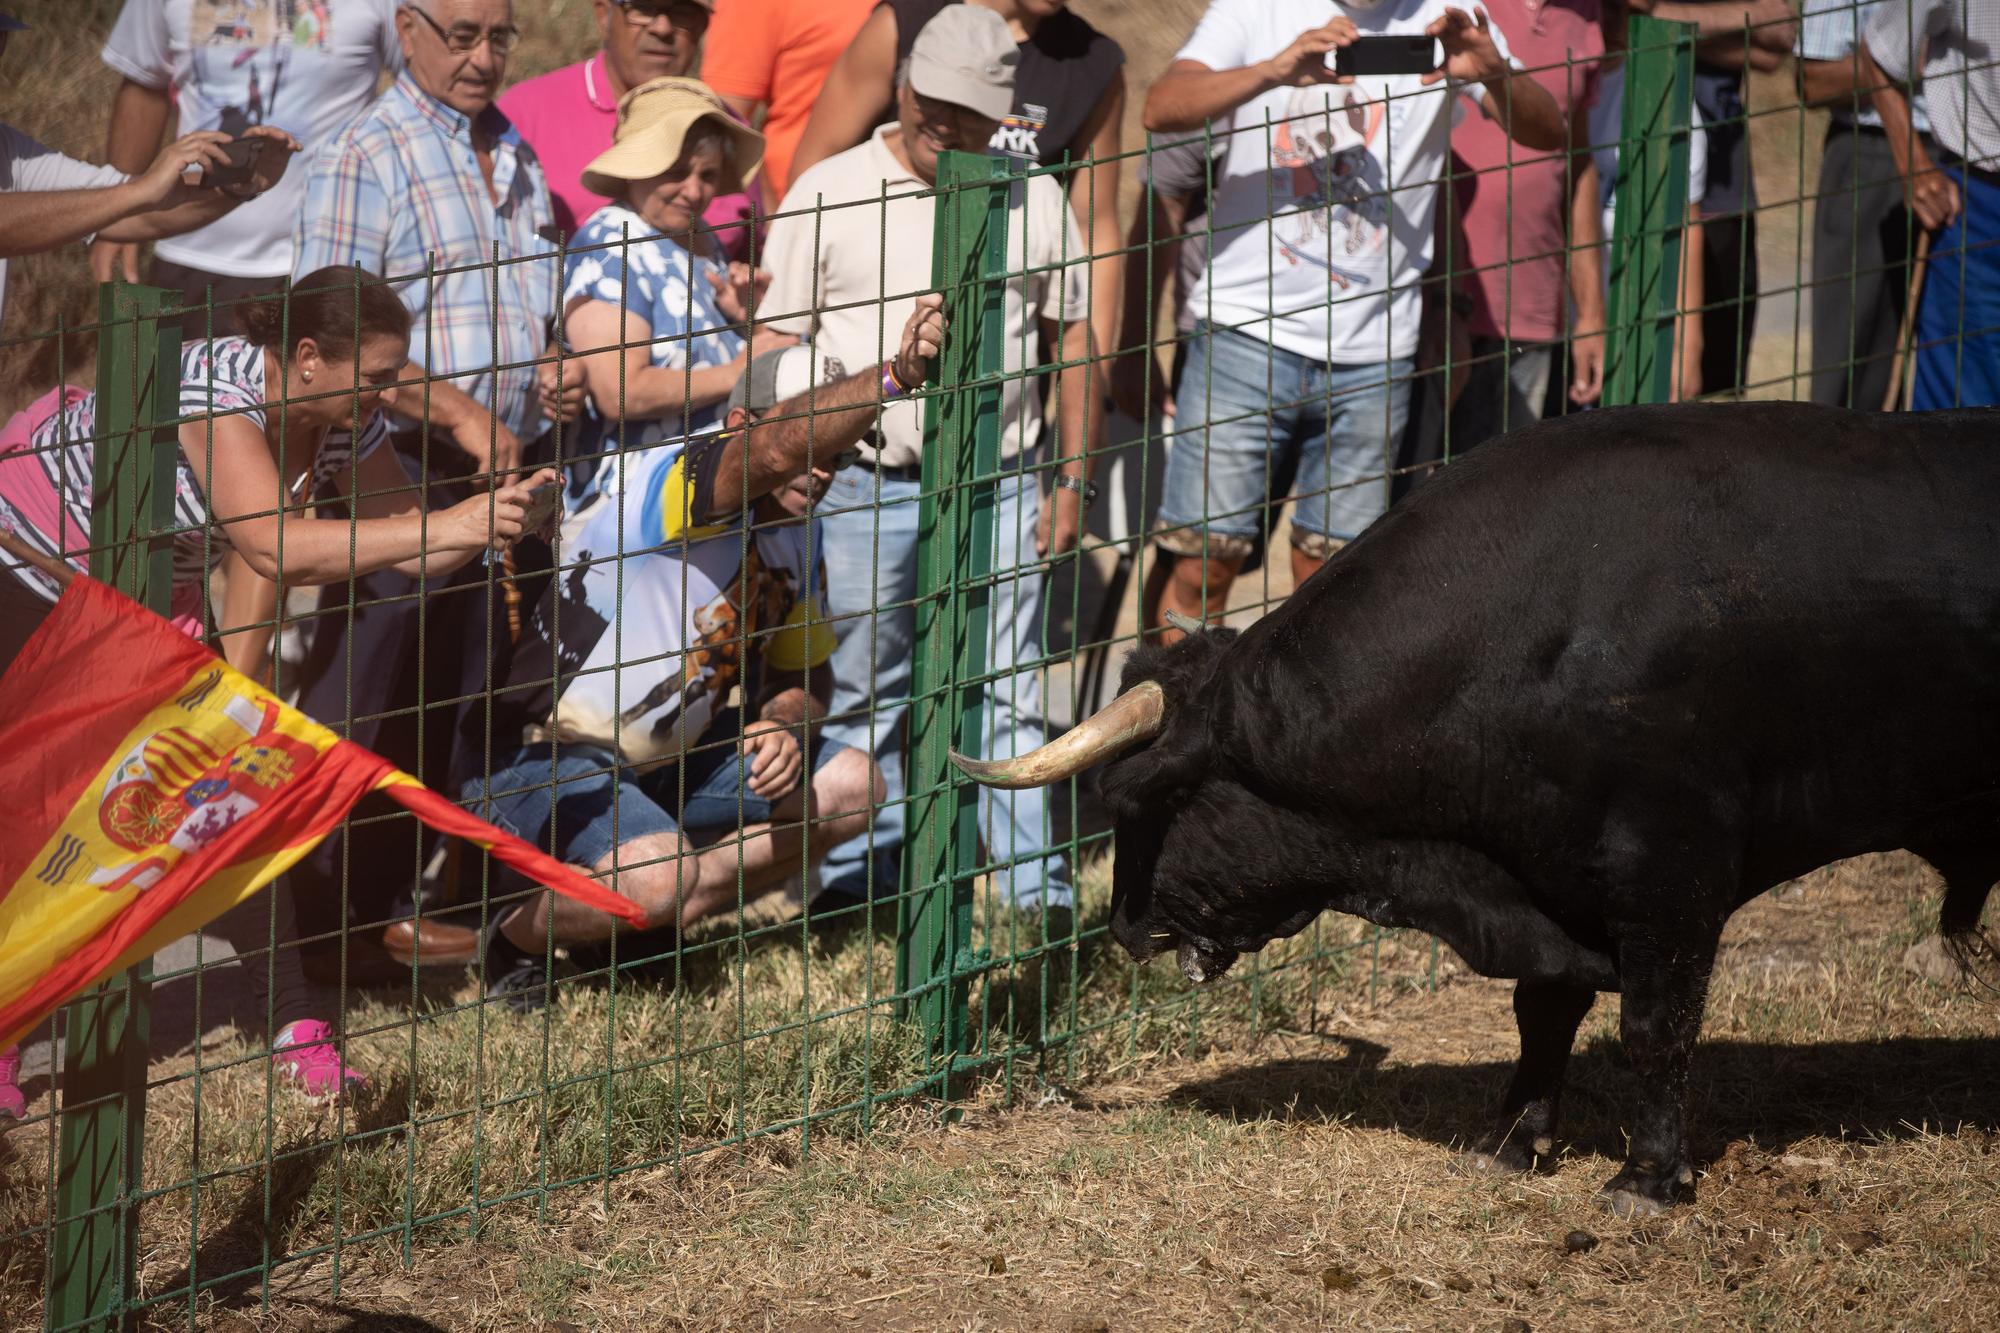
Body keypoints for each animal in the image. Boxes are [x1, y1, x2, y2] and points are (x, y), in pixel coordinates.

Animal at [952, 400, 2000, 1208]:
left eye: (1142, 797)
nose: (1123, 929)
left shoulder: (1671, 870)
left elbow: (1655, 1026)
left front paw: (1648, 1179)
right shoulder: (1553, 881)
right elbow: (1545, 1009)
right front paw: (1512, 1141)